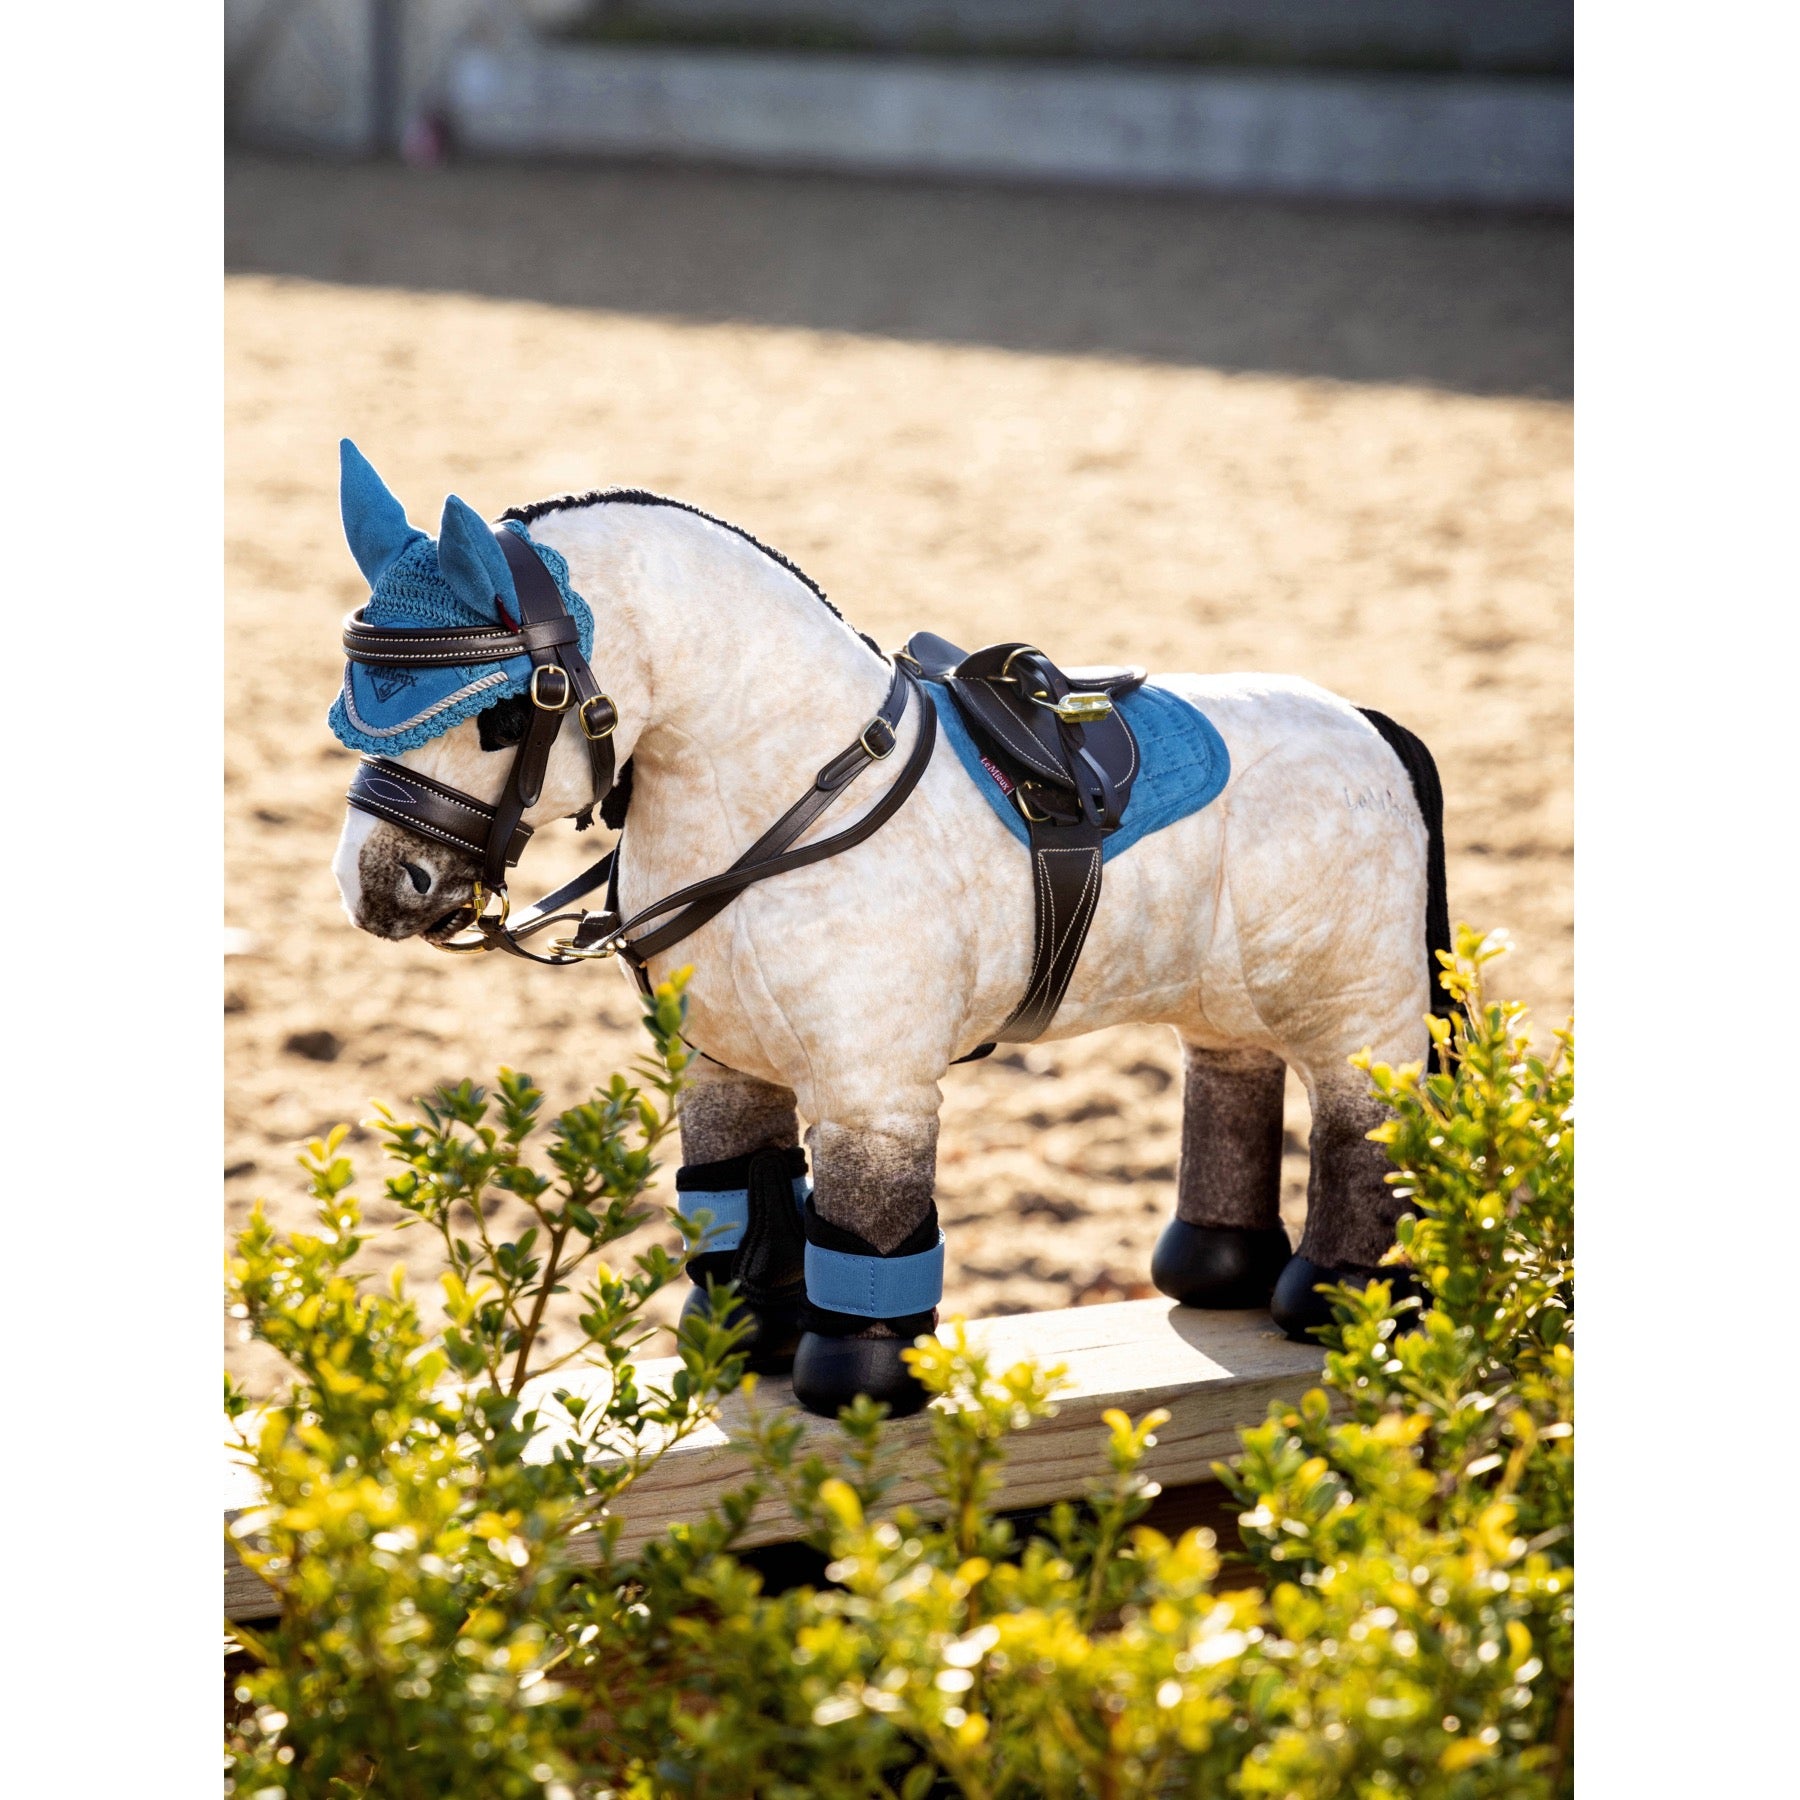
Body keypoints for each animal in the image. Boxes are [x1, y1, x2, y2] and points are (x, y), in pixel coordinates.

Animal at [327, 442, 1448, 1418]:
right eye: (352, 705)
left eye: (506, 715)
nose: (377, 887)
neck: (786, 792)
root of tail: (1364, 720)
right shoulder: (724, 1068)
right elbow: (742, 1200)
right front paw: (743, 1342)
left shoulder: (874, 1090)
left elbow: (868, 1229)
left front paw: (857, 1385)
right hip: (1229, 996)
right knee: (1232, 1074)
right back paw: (1215, 1270)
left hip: (1359, 1010)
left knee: (1361, 1122)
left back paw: (1343, 1298)